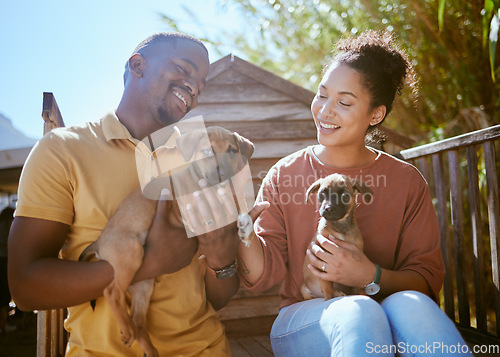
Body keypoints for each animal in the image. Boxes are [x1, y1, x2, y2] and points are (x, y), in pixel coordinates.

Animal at [80, 127, 256, 356]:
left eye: (233, 150)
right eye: (207, 151)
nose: (223, 175)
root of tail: (100, 241)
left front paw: (246, 228)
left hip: (143, 286)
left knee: (139, 322)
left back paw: (148, 348)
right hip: (130, 253)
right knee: (111, 292)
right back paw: (127, 330)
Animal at [300, 172, 372, 300]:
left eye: (344, 196)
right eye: (322, 194)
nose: (328, 208)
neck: (339, 226)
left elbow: (359, 283)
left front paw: (362, 294)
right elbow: (327, 285)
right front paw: (329, 299)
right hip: (304, 290)